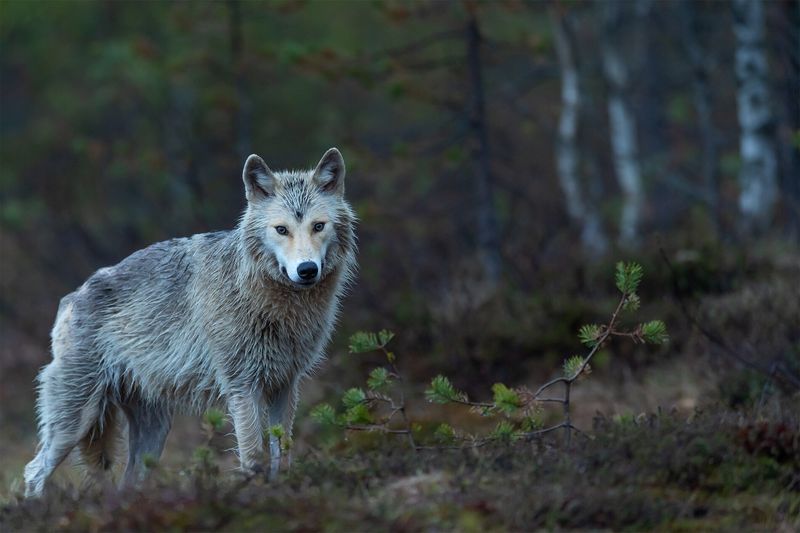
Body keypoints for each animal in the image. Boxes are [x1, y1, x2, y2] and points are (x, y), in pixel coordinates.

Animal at [23, 148, 358, 496]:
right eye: (282, 229)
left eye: (318, 226)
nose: (307, 270)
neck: (273, 303)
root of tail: (71, 297)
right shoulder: (243, 387)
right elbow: (253, 456)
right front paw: (254, 494)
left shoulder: (286, 385)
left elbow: (284, 453)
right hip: (75, 421)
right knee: (33, 471)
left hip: (153, 431)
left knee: (128, 481)